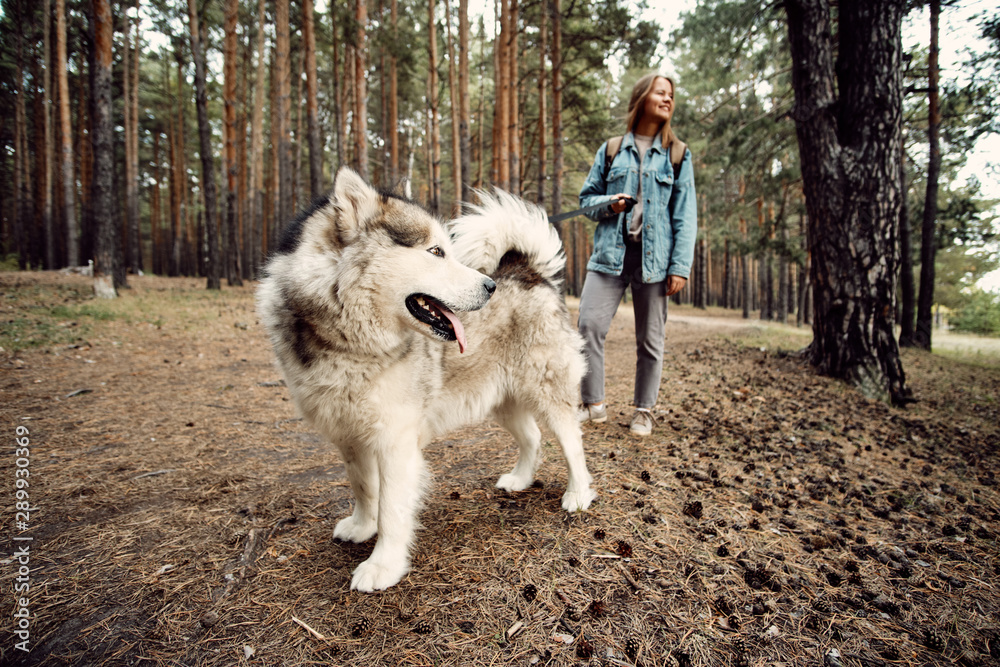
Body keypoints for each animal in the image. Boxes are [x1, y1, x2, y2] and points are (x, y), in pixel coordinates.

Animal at [258, 170, 596, 592]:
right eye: (435, 252)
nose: (489, 287)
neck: (349, 343)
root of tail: (525, 271)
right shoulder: (349, 438)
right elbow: (363, 488)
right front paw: (362, 526)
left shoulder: (395, 442)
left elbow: (391, 508)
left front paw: (383, 565)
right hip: (501, 401)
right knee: (532, 437)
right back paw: (520, 479)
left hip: (548, 393)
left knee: (573, 445)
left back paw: (578, 493)